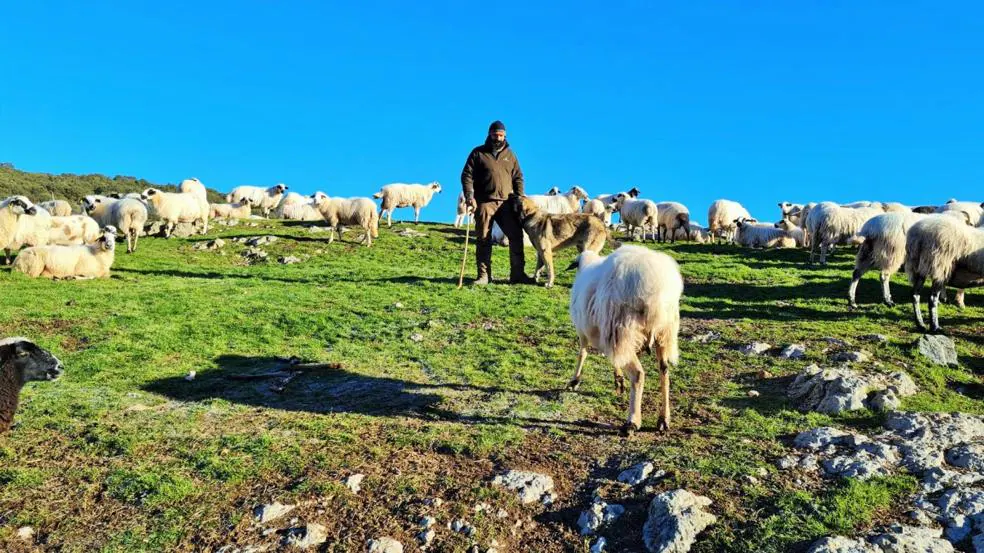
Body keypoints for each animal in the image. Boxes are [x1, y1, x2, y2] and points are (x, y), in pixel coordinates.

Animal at [564, 246, 680, 436]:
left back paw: (632, 422)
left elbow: (582, 353)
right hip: (664, 334)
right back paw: (664, 419)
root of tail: (656, 288)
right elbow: (614, 359)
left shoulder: (583, 331)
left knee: (638, 374)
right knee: (664, 371)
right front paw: (618, 380)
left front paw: (575, 380)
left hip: (620, 330)